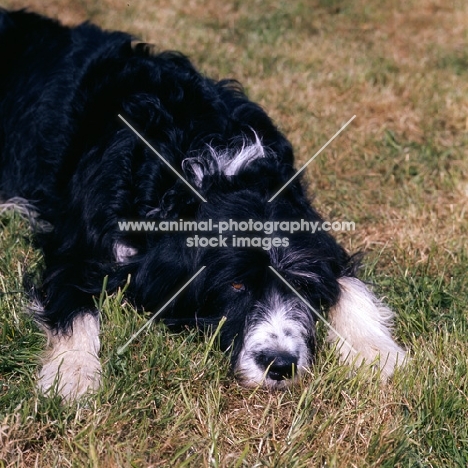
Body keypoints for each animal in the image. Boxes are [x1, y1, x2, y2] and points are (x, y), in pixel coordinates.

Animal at [0, 9, 406, 400]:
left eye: (300, 286)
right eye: (236, 285)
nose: (279, 365)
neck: (209, 172)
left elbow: (347, 283)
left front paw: (374, 350)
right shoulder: (77, 246)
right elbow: (73, 306)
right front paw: (73, 373)